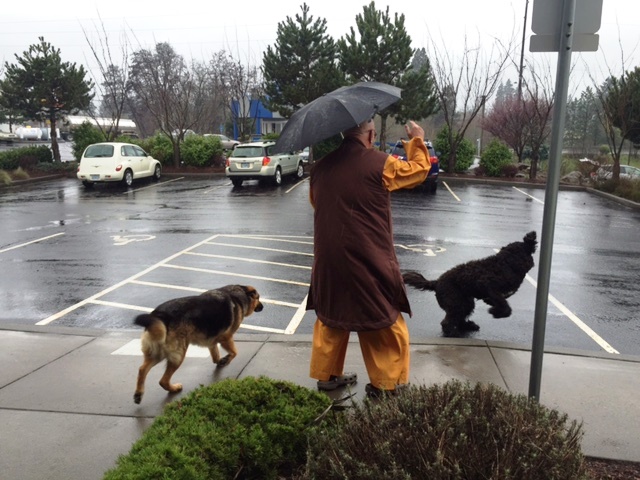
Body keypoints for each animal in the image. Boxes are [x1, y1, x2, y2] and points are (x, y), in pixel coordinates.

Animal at [134, 286, 264, 404]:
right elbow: (234, 352)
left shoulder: (213, 340)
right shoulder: (226, 338)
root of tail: (158, 316)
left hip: (157, 353)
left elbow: (215, 354)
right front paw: (226, 359)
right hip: (178, 354)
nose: (263, 306)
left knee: (142, 369)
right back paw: (174, 388)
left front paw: (220, 361)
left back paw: (138, 393)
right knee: (163, 380)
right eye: (258, 298)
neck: (239, 294)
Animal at [404, 232, 536, 338]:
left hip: (466, 302)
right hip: (456, 303)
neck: (508, 263)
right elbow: (505, 307)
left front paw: (493, 307)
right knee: (447, 321)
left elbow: (501, 301)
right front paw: (495, 312)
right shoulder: (488, 286)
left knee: (460, 318)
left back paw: (468, 326)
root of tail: (436, 282)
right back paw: (453, 333)